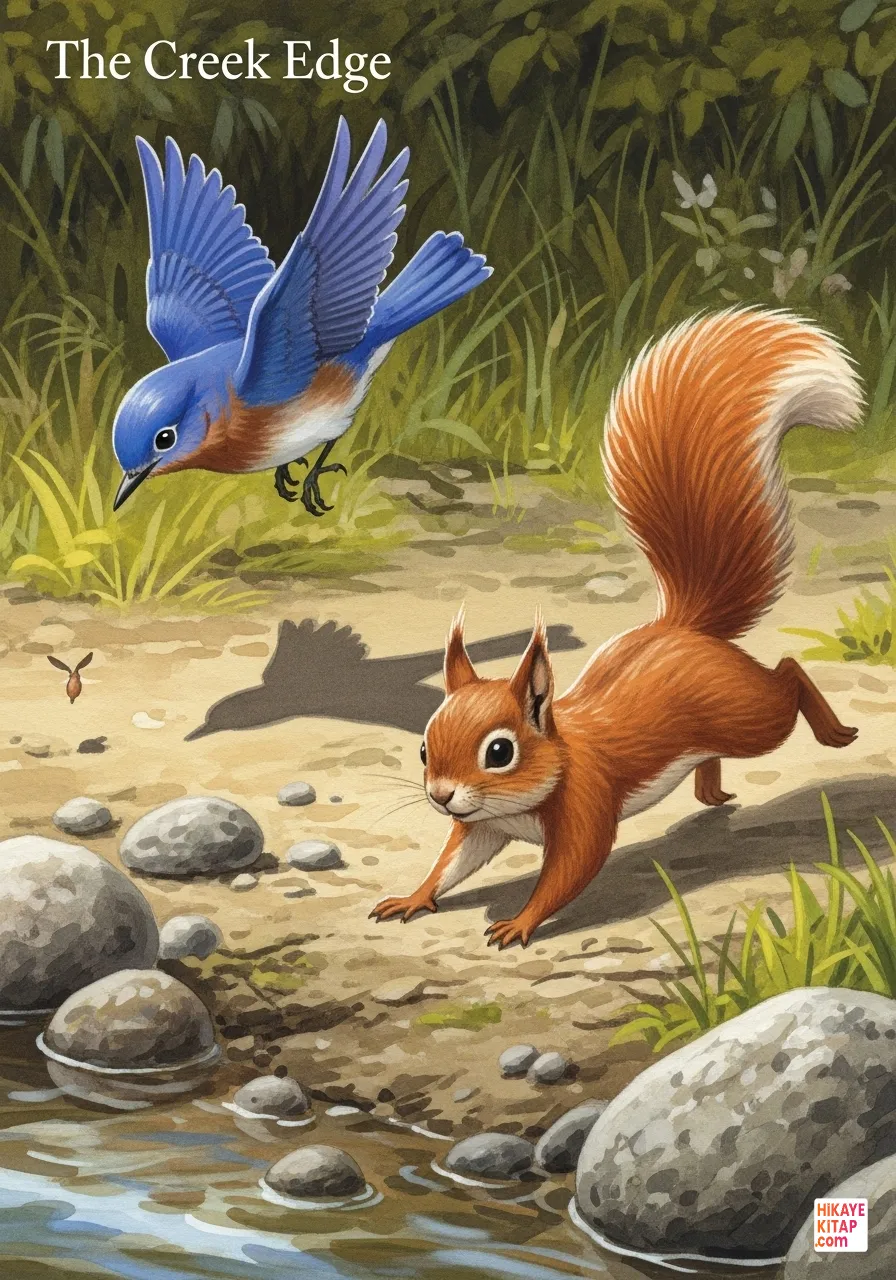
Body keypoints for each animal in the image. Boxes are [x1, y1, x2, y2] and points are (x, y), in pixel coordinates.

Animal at [371, 307, 863, 948]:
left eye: (500, 751)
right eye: (424, 748)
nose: (441, 796)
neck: (549, 767)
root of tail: (684, 627)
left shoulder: (586, 804)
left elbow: (572, 870)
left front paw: (519, 922)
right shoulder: (482, 825)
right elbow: (453, 861)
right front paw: (414, 896)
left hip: (748, 714)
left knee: (786, 675)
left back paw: (833, 732)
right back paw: (710, 789)